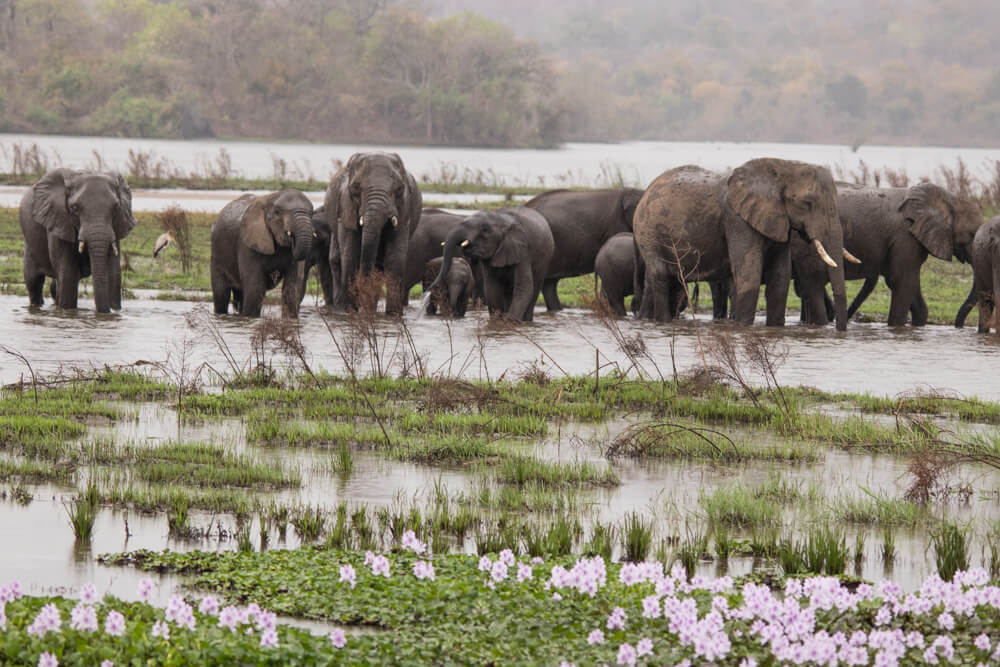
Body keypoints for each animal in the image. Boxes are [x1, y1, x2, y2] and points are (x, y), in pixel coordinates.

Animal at [20, 167, 136, 314]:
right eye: (75, 208)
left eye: (116, 207)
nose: (104, 312)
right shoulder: (59, 221)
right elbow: (68, 275)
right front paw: (68, 312)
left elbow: (114, 275)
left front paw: (115, 312)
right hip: (29, 242)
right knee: (34, 282)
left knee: (55, 285)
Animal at [206, 189, 308, 318]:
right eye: (278, 212)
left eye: (312, 212)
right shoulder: (247, 244)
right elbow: (255, 288)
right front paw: (251, 318)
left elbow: (292, 288)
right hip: (217, 253)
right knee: (221, 294)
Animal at [326, 154, 420, 316]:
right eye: (356, 188)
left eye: (399, 189)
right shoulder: (346, 207)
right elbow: (350, 256)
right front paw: (348, 312)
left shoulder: (404, 209)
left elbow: (395, 258)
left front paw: (393, 315)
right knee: (337, 259)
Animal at [636, 160, 848, 332]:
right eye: (807, 203)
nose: (839, 332)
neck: (782, 166)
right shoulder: (737, 220)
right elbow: (749, 275)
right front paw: (743, 329)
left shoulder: (779, 222)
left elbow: (780, 280)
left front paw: (775, 329)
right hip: (649, 235)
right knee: (661, 277)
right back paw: (663, 323)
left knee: (673, 282)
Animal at [788, 183, 984, 328]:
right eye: (972, 235)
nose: (959, 326)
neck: (950, 198)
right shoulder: (905, 237)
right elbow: (902, 282)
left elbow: (911, 290)